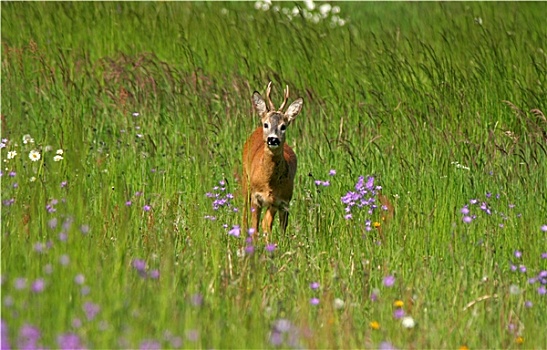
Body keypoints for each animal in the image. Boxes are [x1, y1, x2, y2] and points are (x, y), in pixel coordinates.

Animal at [244, 80, 304, 237]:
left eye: (283, 126)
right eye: (266, 124)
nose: (273, 139)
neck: (268, 183)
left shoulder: (278, 200)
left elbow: (266, 225)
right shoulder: (256, 196)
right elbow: (255, 226)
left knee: (279, 224)